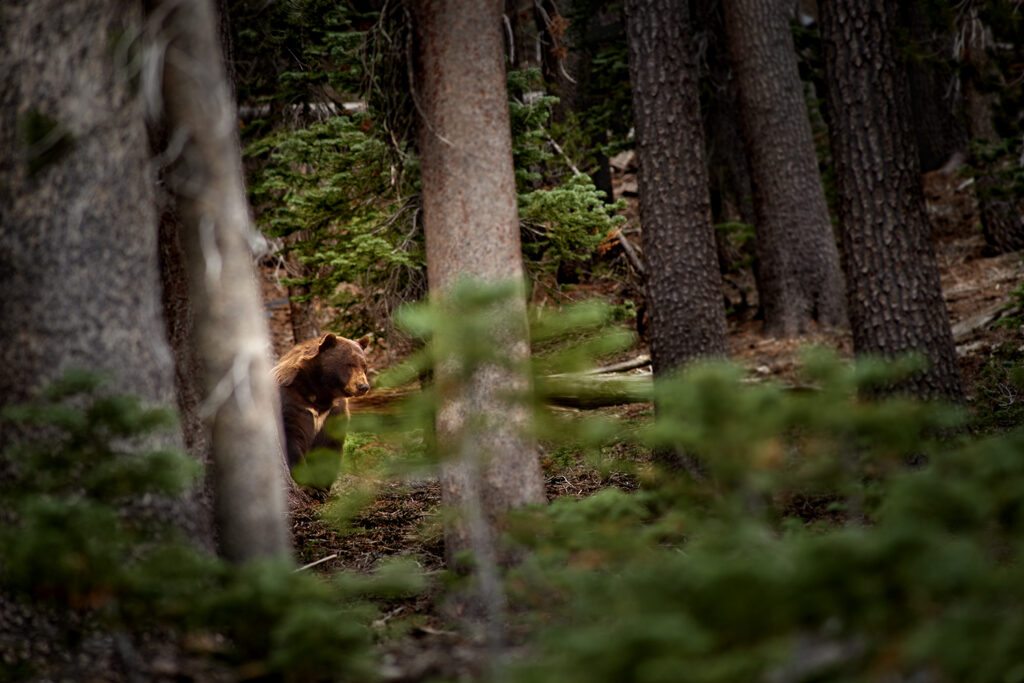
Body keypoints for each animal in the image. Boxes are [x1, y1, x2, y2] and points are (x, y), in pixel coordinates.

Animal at [272, 331, 372, 471]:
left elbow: (329, 448)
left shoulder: (333, 412)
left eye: (364, 366)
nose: (363, 386)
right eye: (349, 364)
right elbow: (292, 439)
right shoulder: (292, 402)